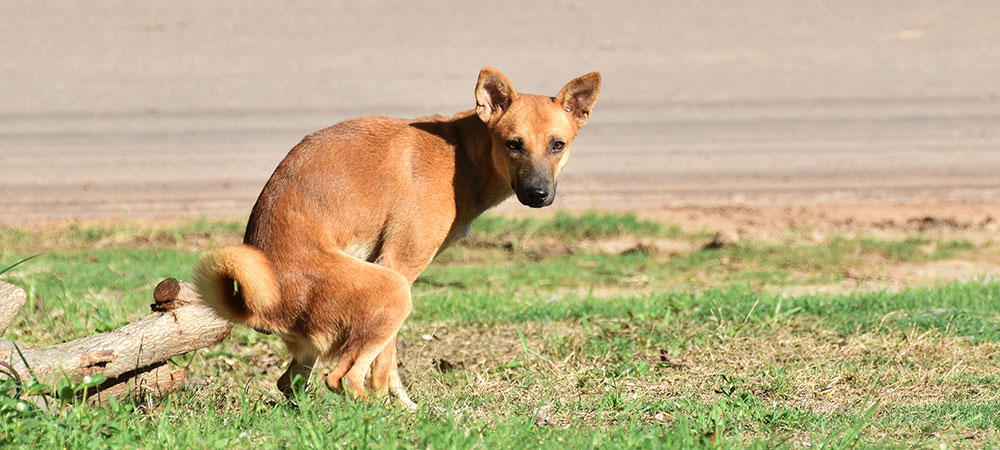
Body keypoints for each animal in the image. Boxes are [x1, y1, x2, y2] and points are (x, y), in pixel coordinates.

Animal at [196, 67, 600, 408]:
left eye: (558, 145)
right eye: (513, 144)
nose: (538, 194)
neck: (461, 155)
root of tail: (264, 305)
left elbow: (387, 364)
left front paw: (402, 403)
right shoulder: (398, 266)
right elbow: (384, 364)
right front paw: (395, 406)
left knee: (291, 383)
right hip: (392, 291)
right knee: (341, 378)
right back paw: (377, 412)